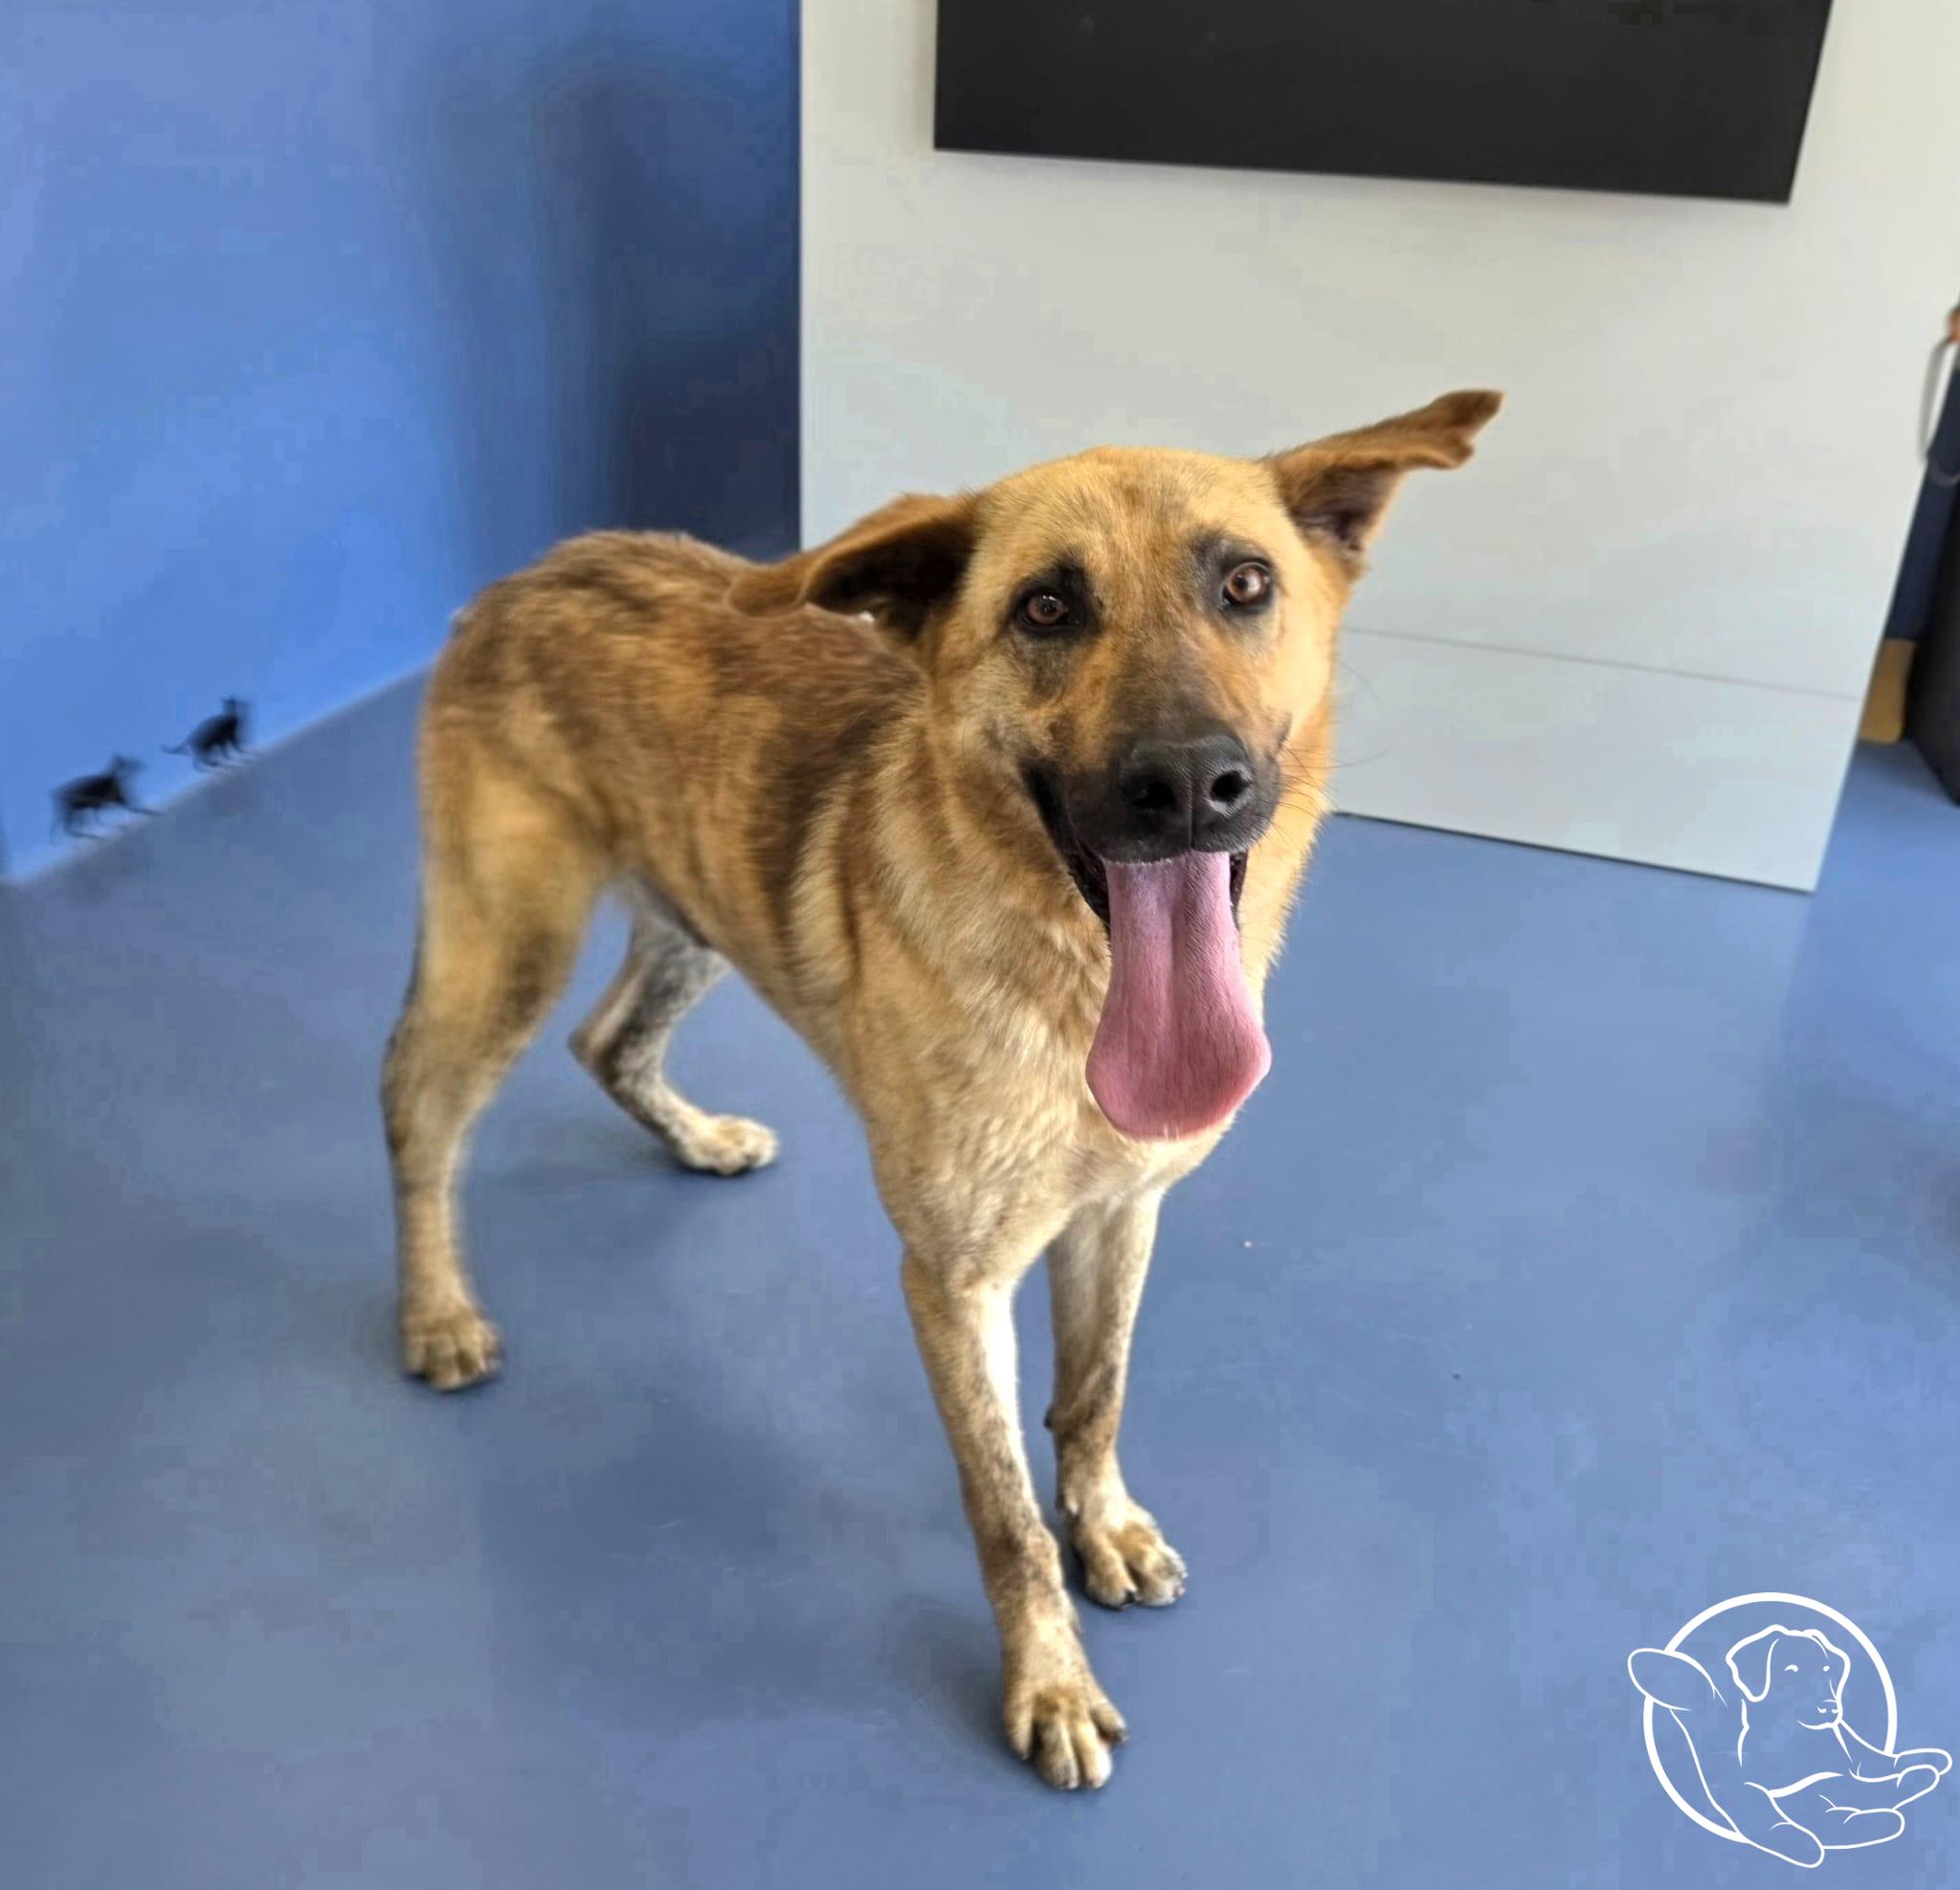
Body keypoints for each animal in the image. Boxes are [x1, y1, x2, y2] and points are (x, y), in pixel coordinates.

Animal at [382, 389, 1501, 1789]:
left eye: (1245, 584)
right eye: (1044, 608)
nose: (1191, 785)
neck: (1074, 982)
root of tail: (528, 573)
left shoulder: (1120, 1214)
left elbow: (1092, 1396)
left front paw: (1104, 1525)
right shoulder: (955, 1282)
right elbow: (1002, 1509)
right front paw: (1050, 1678)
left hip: (690, 908)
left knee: (608, 1041)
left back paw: (694, 1139)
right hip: (509, 939)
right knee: (418, 1100)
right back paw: (437, 1311)